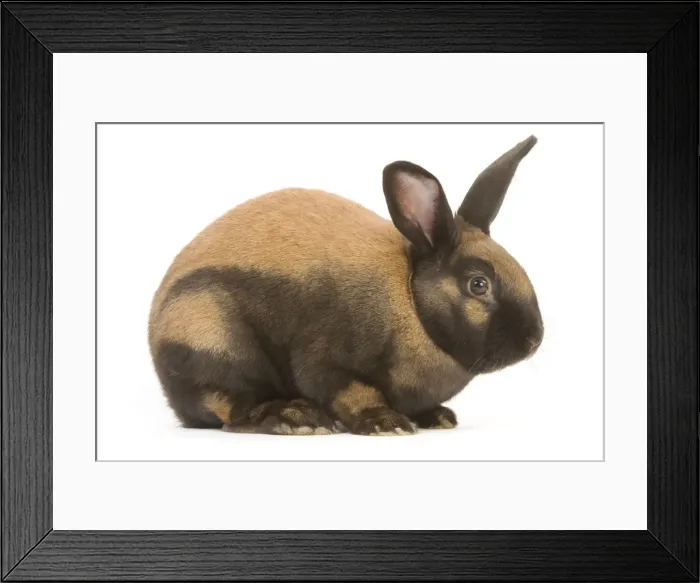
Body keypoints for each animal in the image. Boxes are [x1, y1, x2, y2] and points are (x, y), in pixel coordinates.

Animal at [148, 135, 543, 436]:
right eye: (478, 284)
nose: (534, 339)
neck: (410, 300)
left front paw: (436, 417)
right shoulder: (329, 360)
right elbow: (352, 390)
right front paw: (386, 423)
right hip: (212, 335)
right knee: (227, 404)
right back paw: (295, 418)